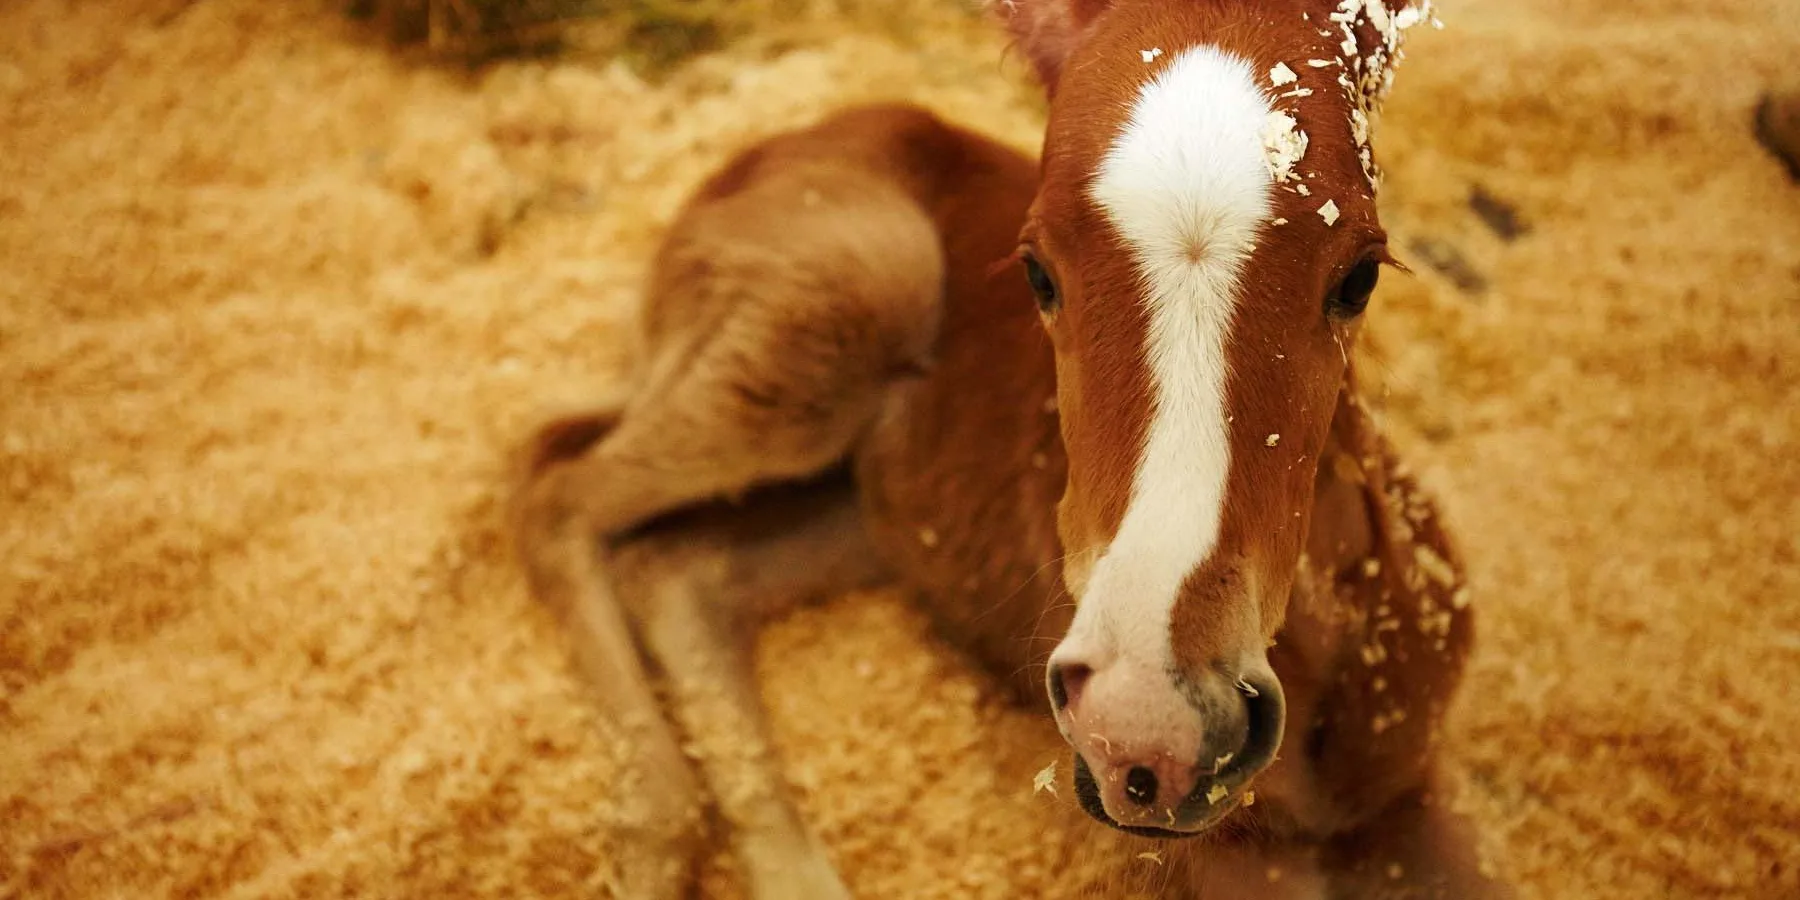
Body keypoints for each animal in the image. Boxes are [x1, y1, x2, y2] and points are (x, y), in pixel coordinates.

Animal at [512, 1, 1510, 897]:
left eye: (1360, 274)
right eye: (1036, 270)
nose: (1153, 724)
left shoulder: (1417, 794)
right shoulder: (1226, 857)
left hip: (875, 507)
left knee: (679, 569)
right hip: (855, 296)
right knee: (557, 492)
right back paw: (654, 833)